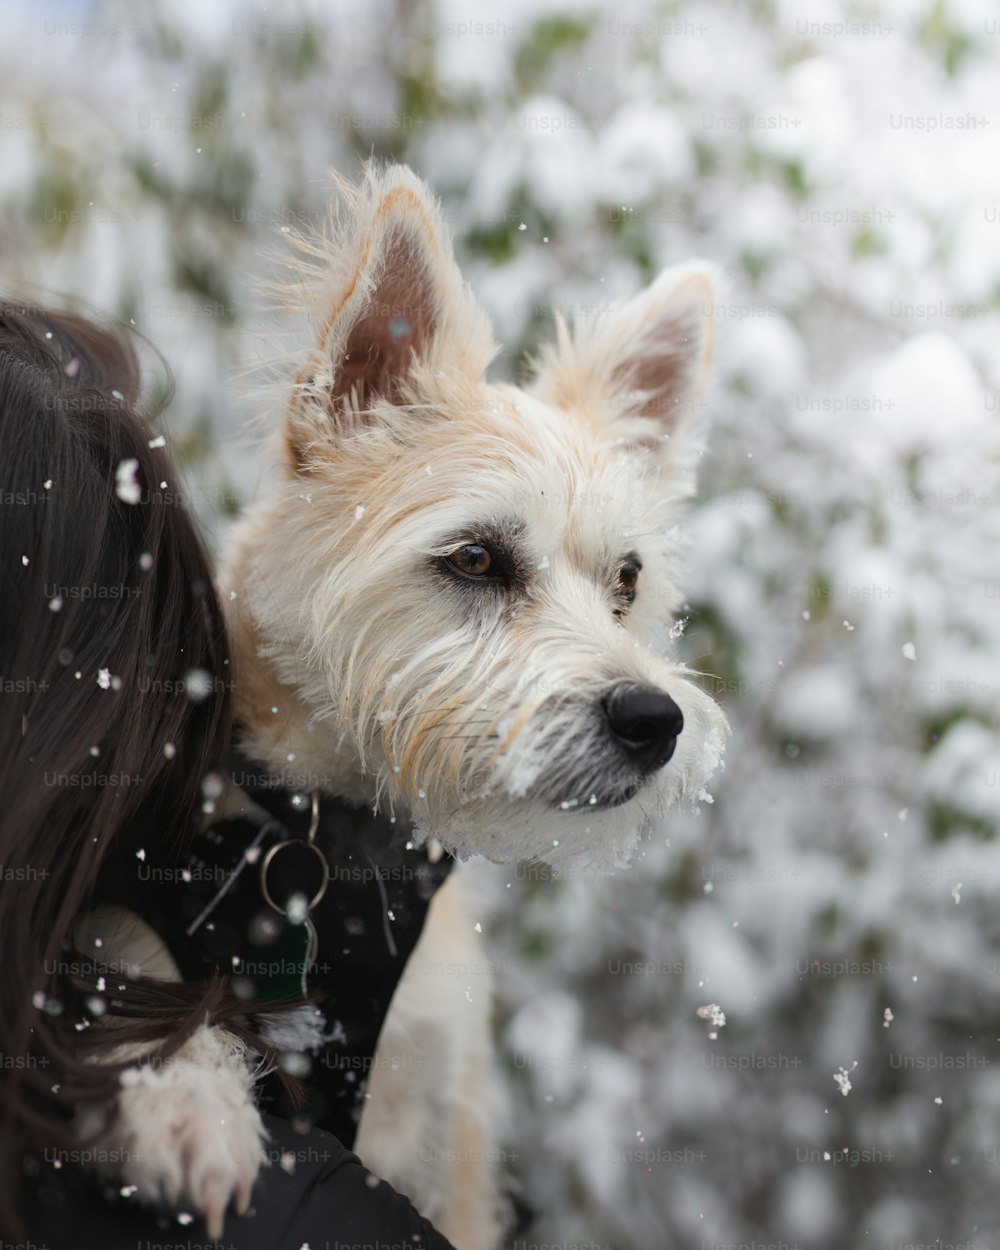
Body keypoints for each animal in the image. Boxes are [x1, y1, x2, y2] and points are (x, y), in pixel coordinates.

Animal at [83, 166, 725, 1250]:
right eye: (475, 558)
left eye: (628, 579)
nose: (653, 721)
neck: (325, 849)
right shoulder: (117, 940)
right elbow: (159, 1012)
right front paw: (189, 1102)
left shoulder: (442, 1118)